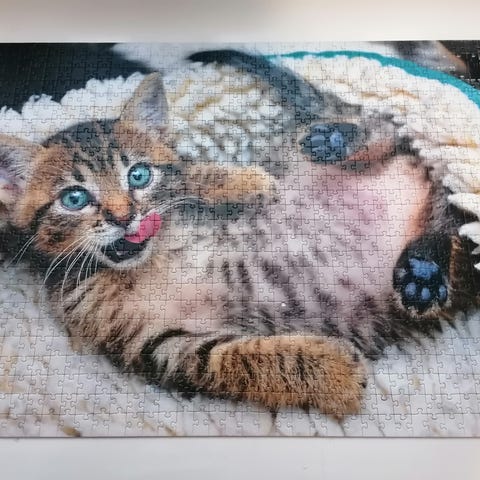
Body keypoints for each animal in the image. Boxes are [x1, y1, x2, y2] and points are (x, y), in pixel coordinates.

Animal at [0, 51, 478, 418]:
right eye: (74, 198)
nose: (123, 216)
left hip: (313, 153)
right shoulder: (157, 347)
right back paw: (423, 268)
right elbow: (234, 361)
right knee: (448, 220)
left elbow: (188, 174)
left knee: (397, 143)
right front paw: (332, 374)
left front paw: (243, 182)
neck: (138, 267)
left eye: (138, 175)